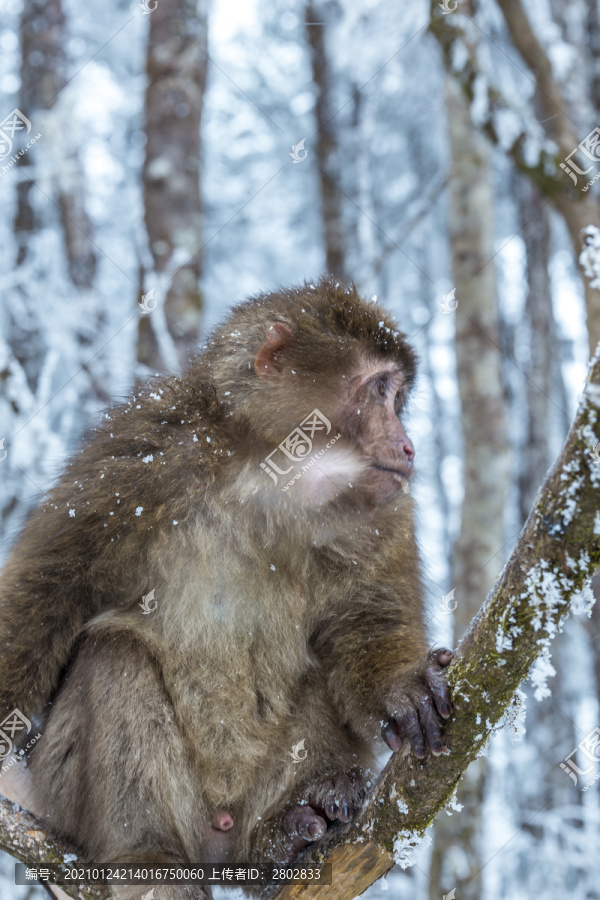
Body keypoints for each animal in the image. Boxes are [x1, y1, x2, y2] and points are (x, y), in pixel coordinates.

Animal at [0, 282, 450, 900]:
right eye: (380, 389)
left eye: (398, 395)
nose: (407, 447)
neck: (272, 470)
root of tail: (218, 848)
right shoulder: (140, 451)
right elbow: (51, 590)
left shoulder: (381, 512)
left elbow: (365, 617)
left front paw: (401, 685)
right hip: (69, 789)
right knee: (114, 656)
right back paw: (150, 856)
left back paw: (291, 830)